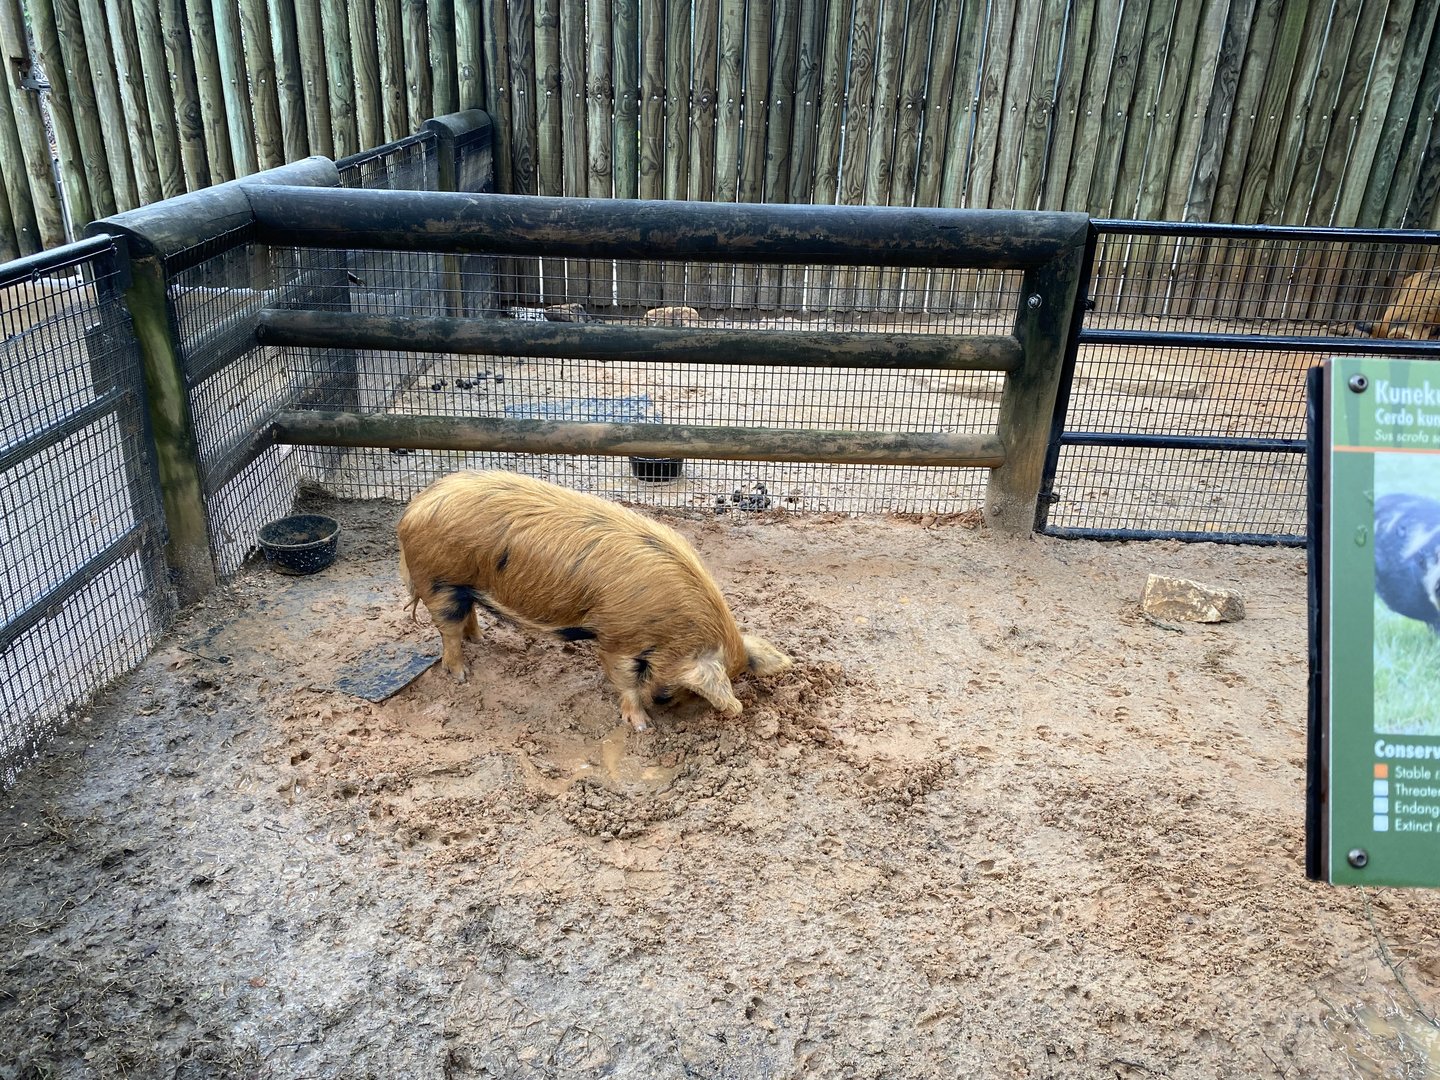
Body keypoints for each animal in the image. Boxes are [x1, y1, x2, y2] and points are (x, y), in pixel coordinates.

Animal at [397, 470, 793, 731]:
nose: (662, 702)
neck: (674, 628)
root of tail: (413, 509)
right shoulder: (616, 637)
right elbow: (624, 679)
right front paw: (641, 726)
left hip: (460, 585)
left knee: (469, 616)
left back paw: (481, 641)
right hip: (439, 582)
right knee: (448, 632)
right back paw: (462, 676)